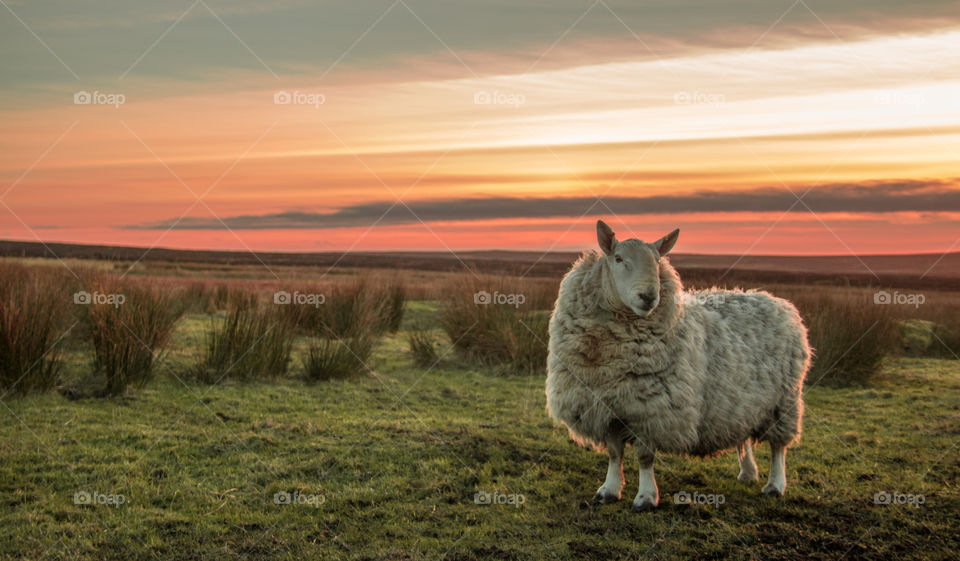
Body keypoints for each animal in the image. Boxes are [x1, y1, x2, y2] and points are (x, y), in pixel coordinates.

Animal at [545, 220, 811, 511]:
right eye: (618, 258)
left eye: (657, 260)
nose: (649, 296)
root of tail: (777, 302)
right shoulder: (610, 406)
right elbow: (615, 454)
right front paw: (609, 490)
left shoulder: (652, 409)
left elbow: (645, 457)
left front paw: (646, 497)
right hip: (743, 402)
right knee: (744, 437)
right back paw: (748, 472)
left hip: (784, 401)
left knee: (778, 447)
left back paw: (775, 485)